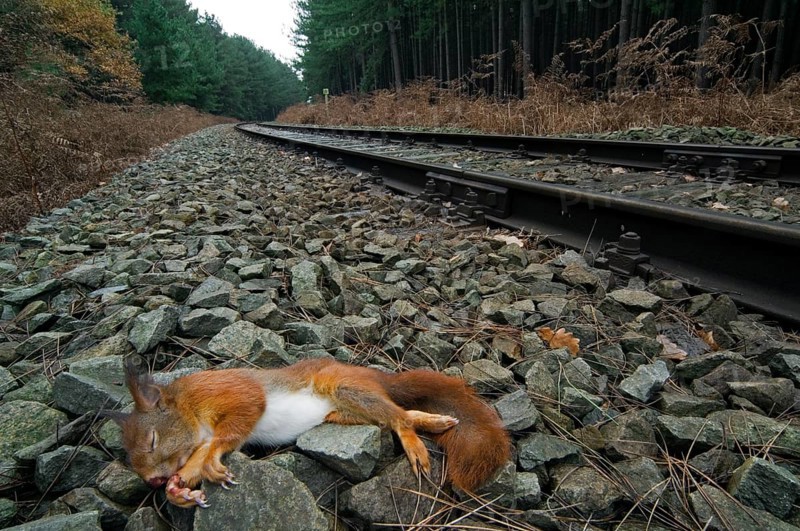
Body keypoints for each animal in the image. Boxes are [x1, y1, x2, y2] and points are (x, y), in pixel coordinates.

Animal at [107, 357, 511, 508]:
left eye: (152, 441)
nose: (153, 481)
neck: (190, 410)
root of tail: (378, 378)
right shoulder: (198, 442)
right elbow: (195, 460)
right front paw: (179, 491)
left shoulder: (233, 394)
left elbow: (231, 430)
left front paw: (210, 468)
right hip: (346, 413)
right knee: (400, 414)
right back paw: (435, 422)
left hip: (346, 388)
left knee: (399, 420)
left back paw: (416, 445)